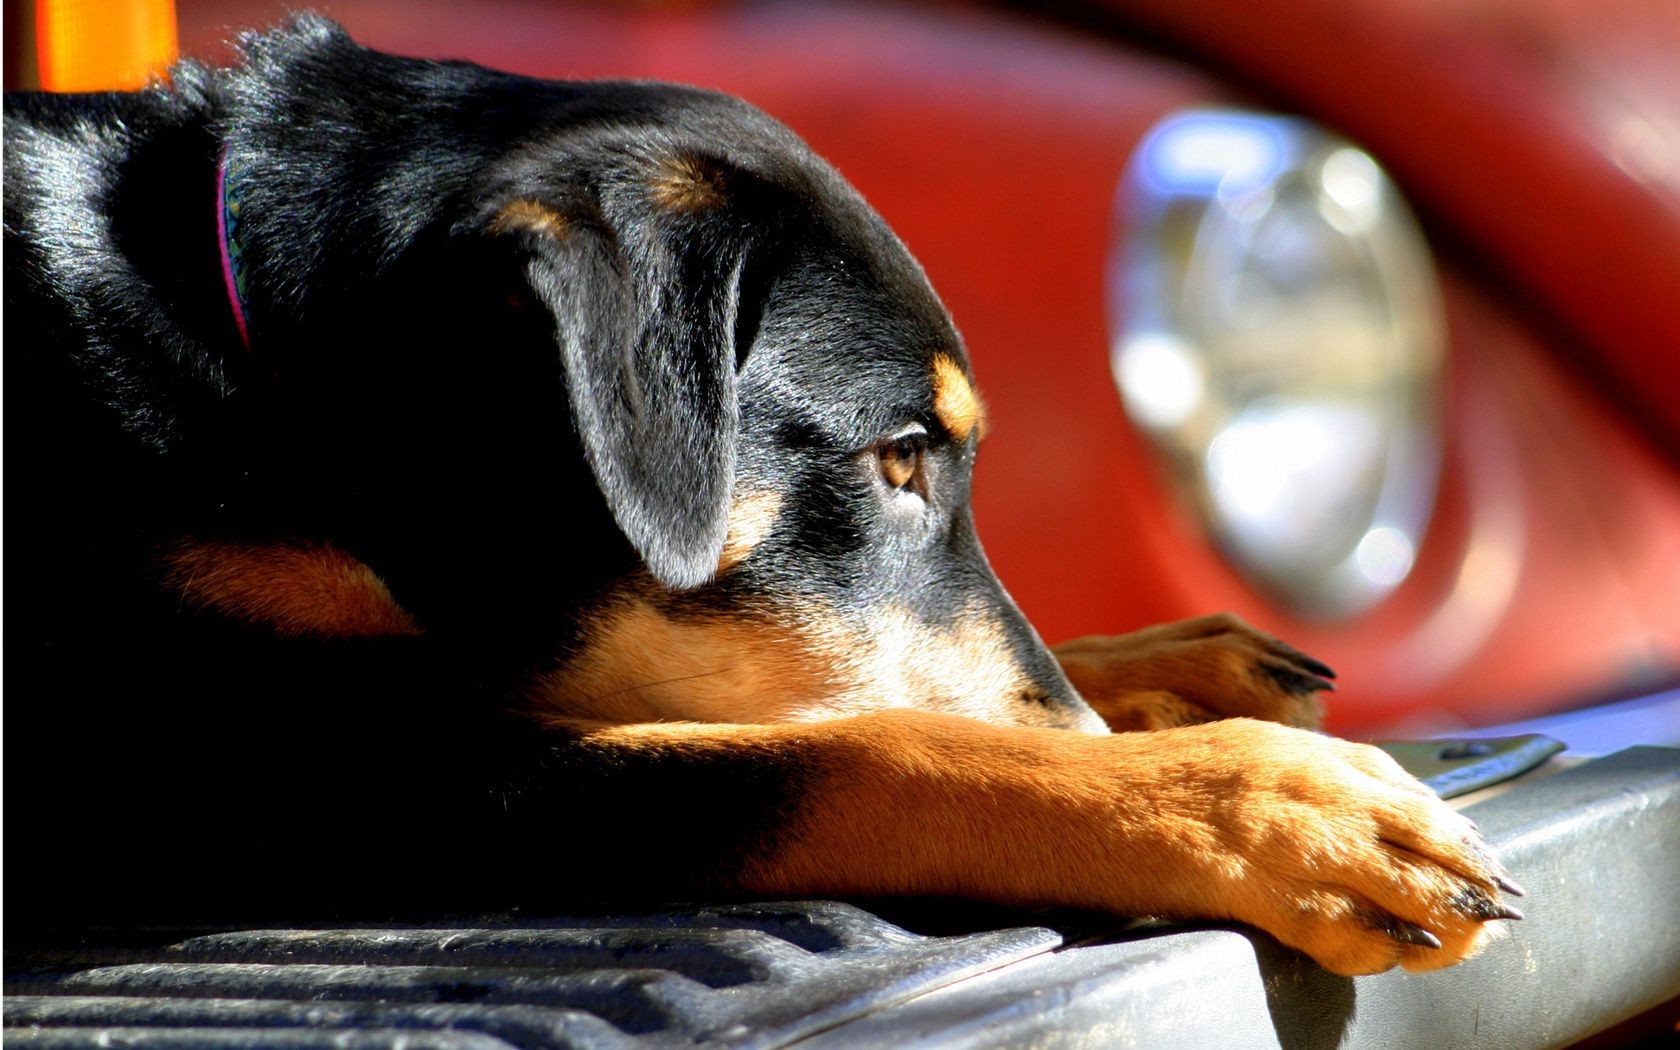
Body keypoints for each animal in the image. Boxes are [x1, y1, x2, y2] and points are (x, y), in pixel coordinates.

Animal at [0, 16, 1525, 974]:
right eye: (897, 456)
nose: (1093, 730)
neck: (273, 387)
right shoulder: (272, 765)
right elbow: (857, 750)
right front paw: (1252, 802)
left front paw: (1180, 669)